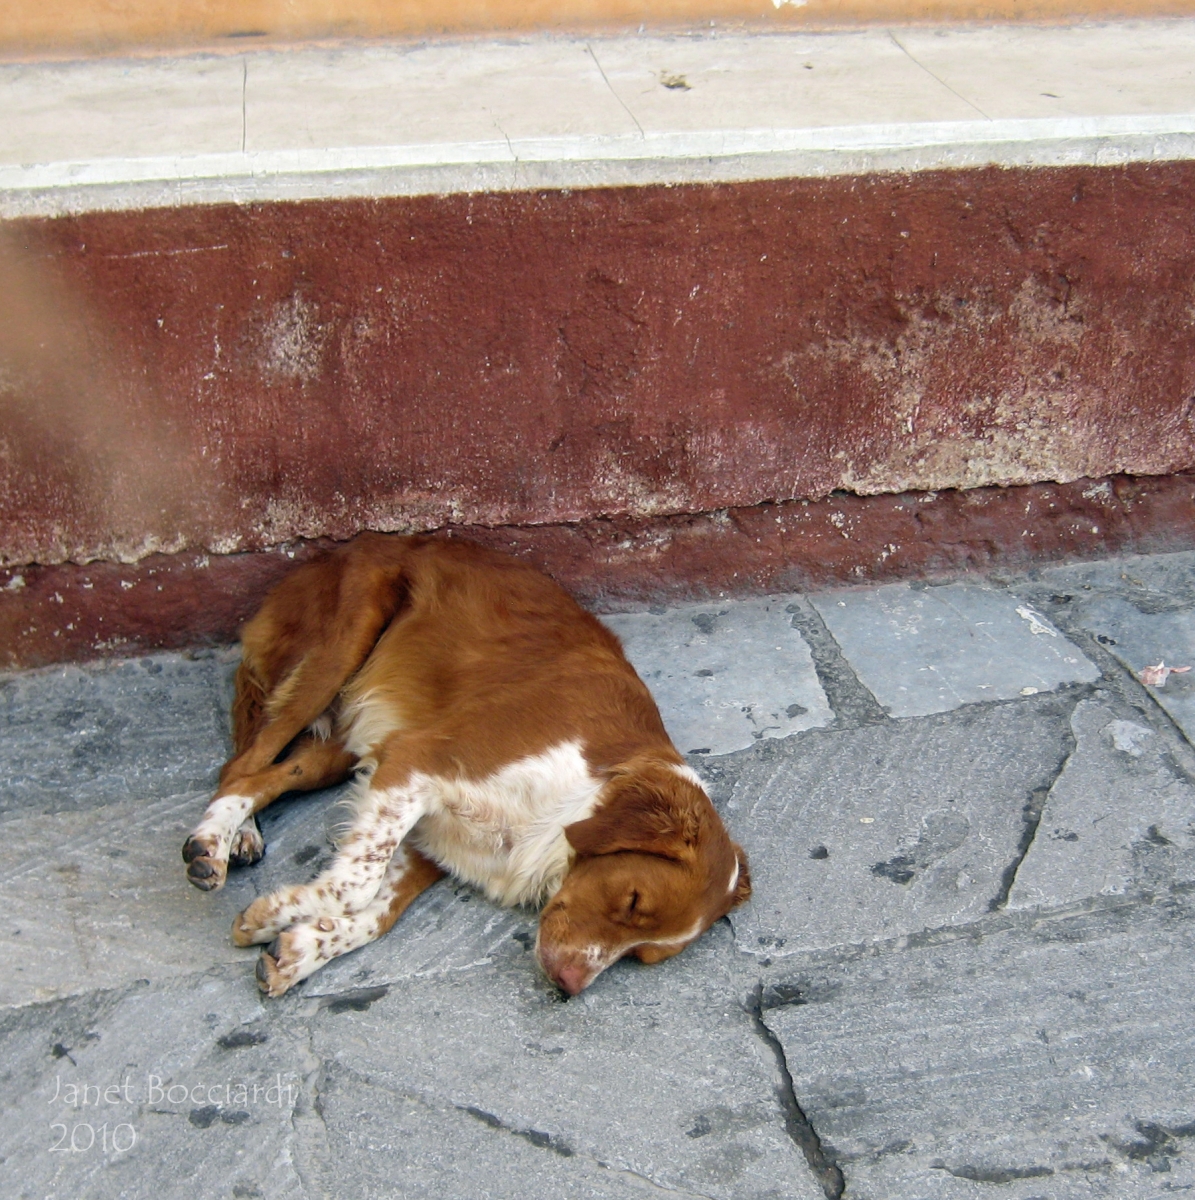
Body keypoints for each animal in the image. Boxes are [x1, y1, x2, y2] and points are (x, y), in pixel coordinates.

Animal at [182, 540, 753, 998]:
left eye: (641, 954)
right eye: (633, 901)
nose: (568, 985)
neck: (582, 798)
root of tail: (336, 550)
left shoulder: (429, 835)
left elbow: (377, 915)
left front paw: (296, 949)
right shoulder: (414, 762)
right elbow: (356, 884)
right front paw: (274, 915)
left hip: (342, 739)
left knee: (261, 775)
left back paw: (234, 838)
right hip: (341, 644)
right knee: (240, 765)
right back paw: (215, 844)